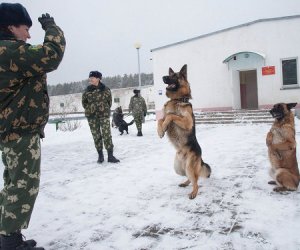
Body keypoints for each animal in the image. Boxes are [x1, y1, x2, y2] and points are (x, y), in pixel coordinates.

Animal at [157, 64, 211, 199]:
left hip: (189, 167)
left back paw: (193, 193)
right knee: (191, 178)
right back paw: (185, 183)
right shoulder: (163, 116)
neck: (176, 99)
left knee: (196, 180)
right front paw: (161, 131)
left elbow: (171, 115)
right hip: (179, 169)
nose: (163, 77)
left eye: (175, 76)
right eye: (169, 75)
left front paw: (164, 126)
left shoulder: (187, 122)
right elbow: (160, 119)